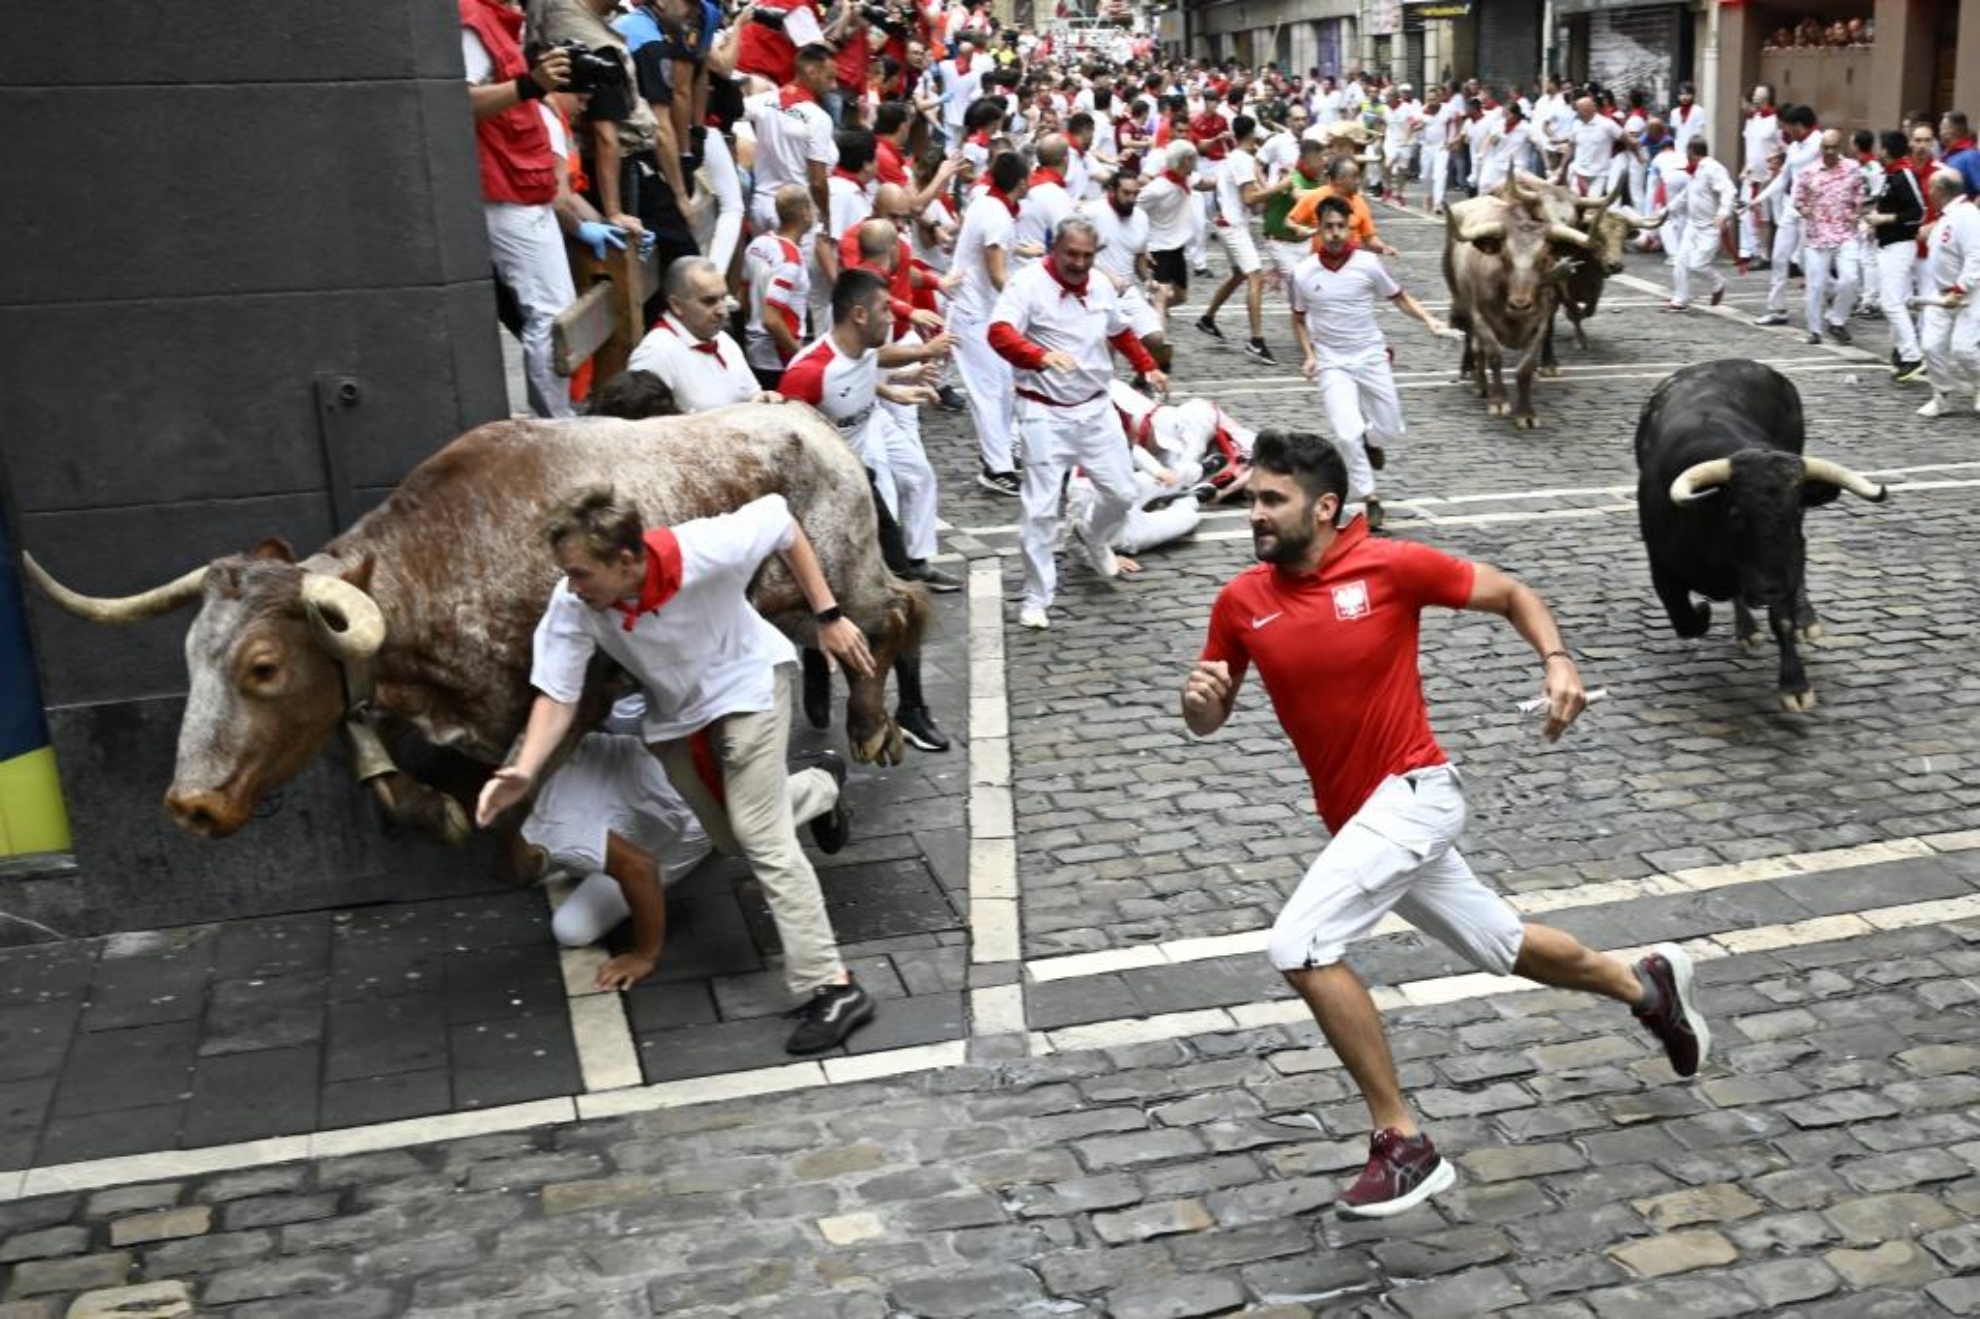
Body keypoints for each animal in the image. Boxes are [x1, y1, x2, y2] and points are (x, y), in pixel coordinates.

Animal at [23, 405, 922, 843]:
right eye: (192, 660)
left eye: (263, 666)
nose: (191, 804)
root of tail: (810, 422)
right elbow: (378, 763)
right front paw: (437, 810)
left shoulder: (565, 700)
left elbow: (525, 797)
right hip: (789, 603)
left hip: (843, 573)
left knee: (896, 612)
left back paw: (875, 726)